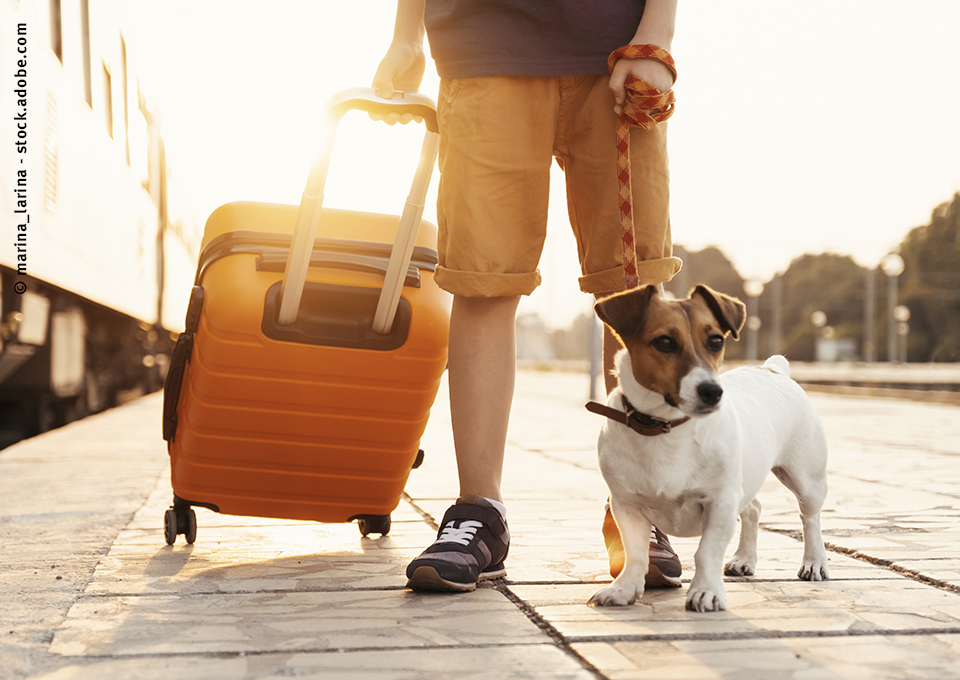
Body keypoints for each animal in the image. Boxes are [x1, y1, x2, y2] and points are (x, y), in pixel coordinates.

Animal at [588, 284, 828, 612]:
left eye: (716, 341)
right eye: (664, 342)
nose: (713, 392)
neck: (666, 426)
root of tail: (773, 369)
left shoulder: (721, 501)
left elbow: (707, 552)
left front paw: (706, 592)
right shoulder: (626, 504)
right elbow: (635, 552)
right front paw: (624, 589)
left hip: (804, 478)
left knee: (810, 519)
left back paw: (814, 562)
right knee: (753, 508)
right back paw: (744, 559)